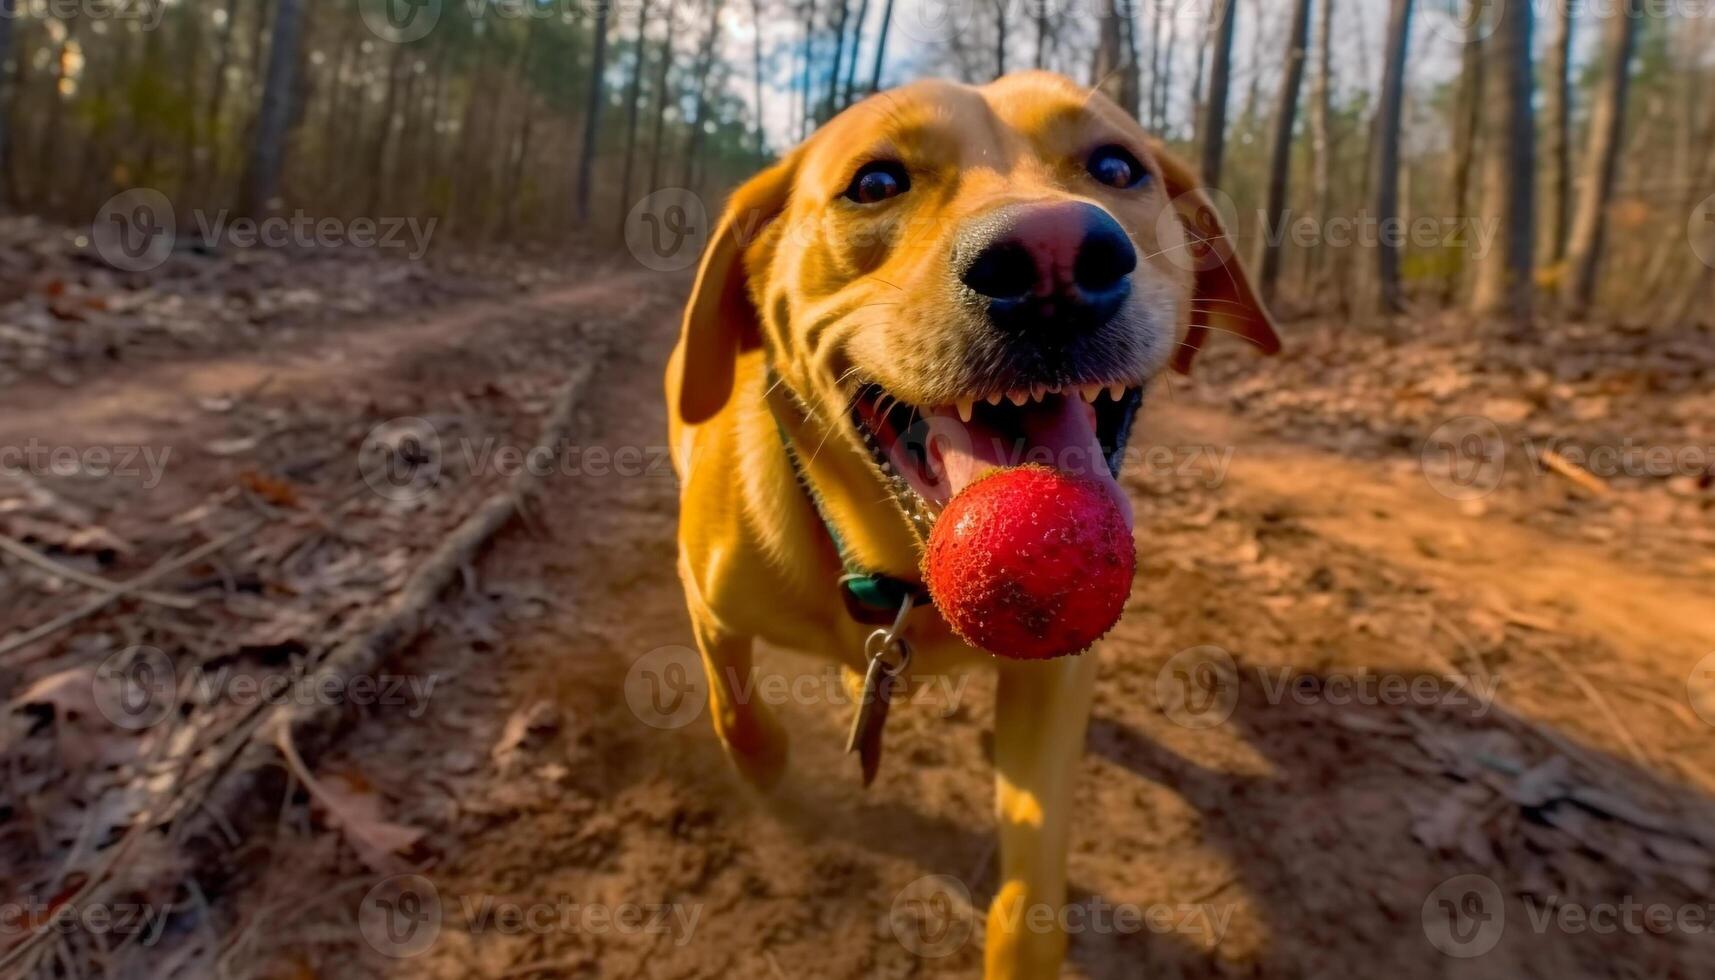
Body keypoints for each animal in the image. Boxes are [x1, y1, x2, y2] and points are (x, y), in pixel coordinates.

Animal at [661, 72, 1282, 974]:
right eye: (876, 182)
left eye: (1114, 165)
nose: (1054, 257)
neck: (900, 573)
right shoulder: (706, 601)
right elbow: (730, 698)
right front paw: (765, 765)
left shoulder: (1049, 685)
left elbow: (1030, 888)